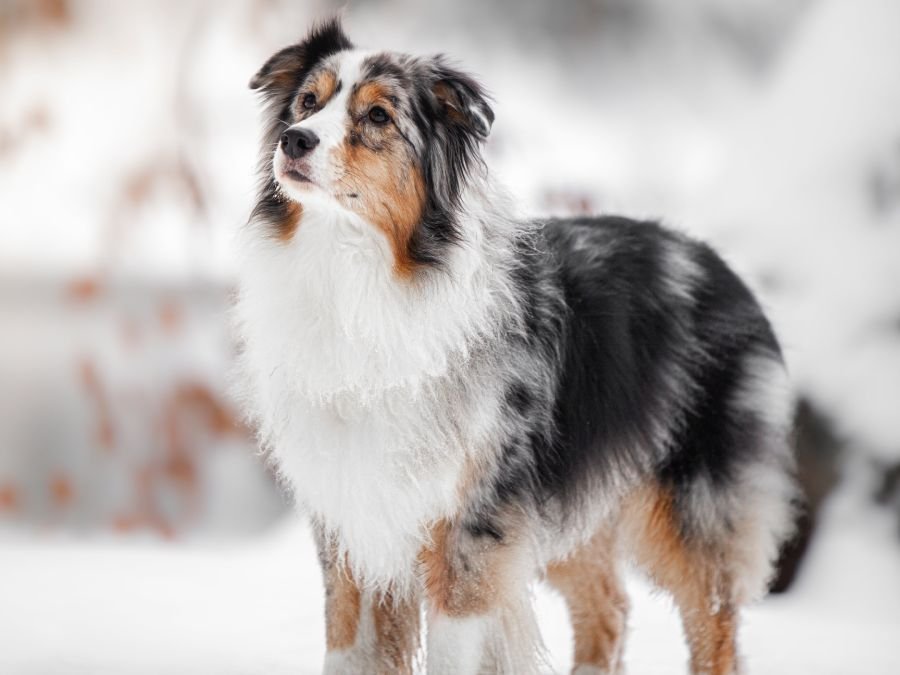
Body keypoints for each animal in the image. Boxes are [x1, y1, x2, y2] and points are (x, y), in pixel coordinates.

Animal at [236, 18, 800, 672]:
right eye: (307, 101)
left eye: (378, 115)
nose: (294, 141)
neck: (362, 277)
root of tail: (723, 267)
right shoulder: (350, 516)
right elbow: (345, 645)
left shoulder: (469, 524)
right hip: (567, 499)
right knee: (608, 607)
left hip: (695, 507)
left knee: (713, 624)